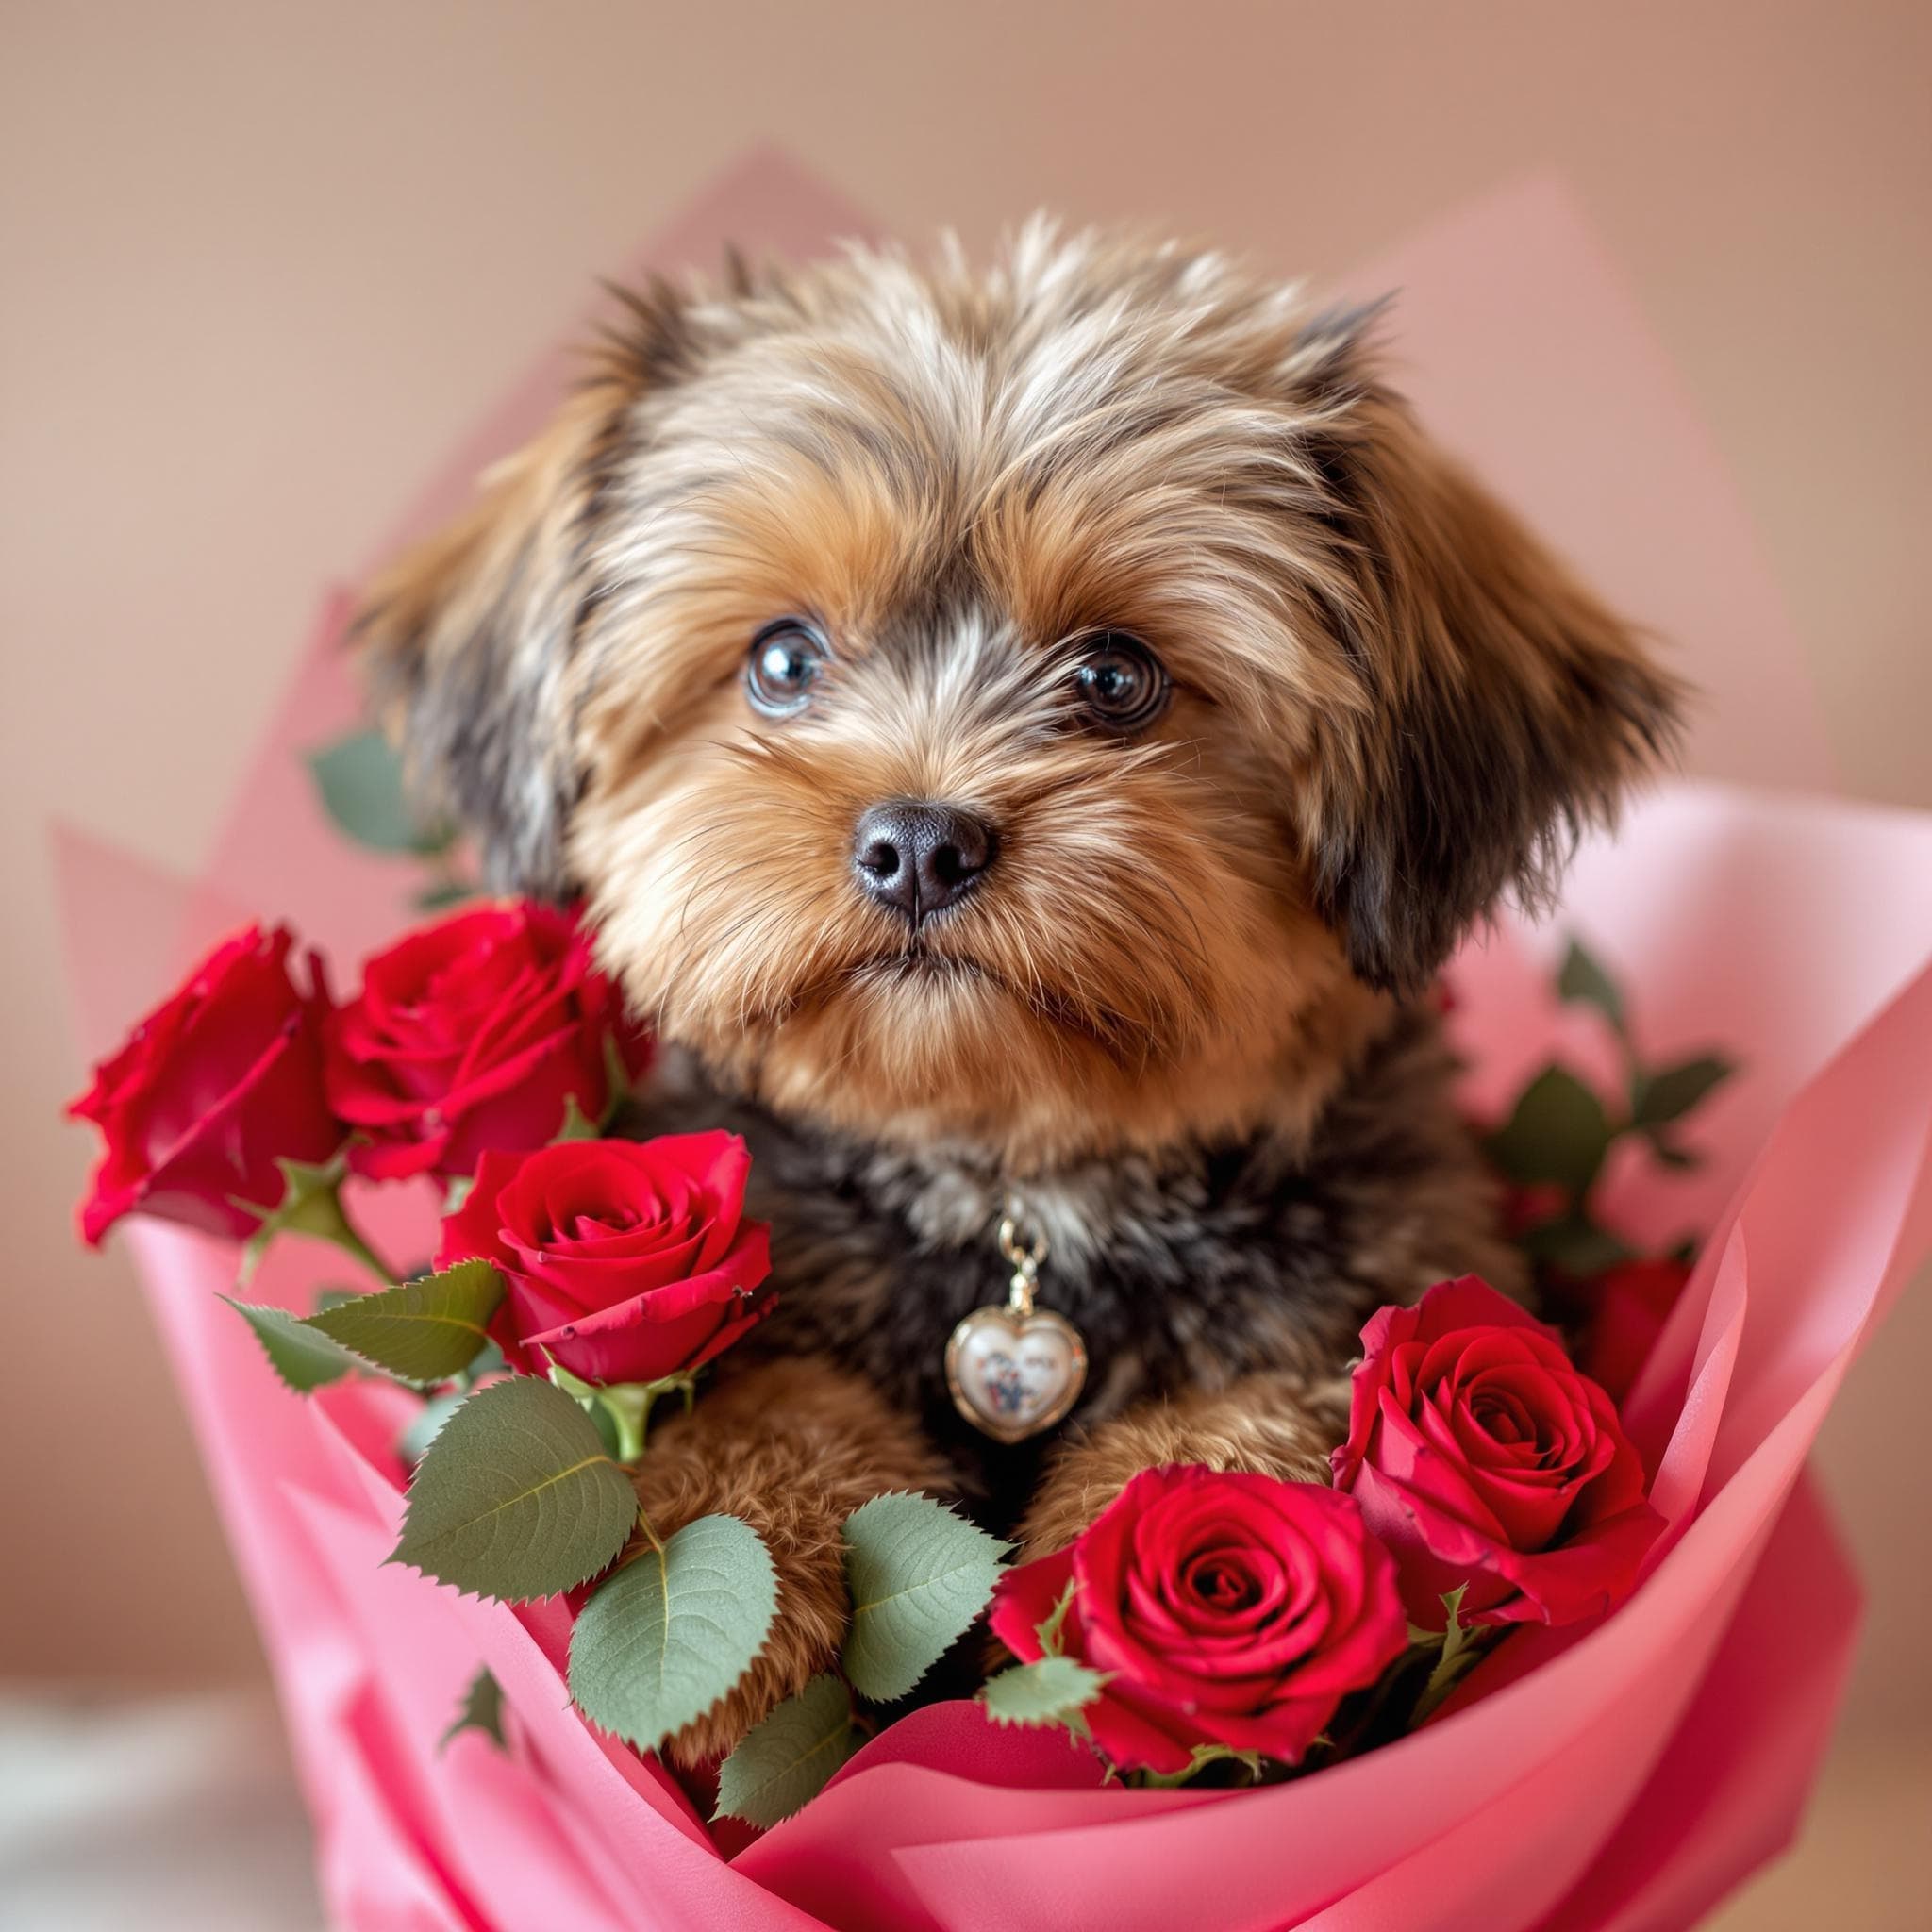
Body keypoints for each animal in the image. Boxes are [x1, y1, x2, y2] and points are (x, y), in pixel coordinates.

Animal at [355, 225, 1684, 1769]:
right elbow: (765, 1398)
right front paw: (732, 1551)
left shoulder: (1381, 1284)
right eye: (782, 660)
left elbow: (1242, 1426)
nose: (918, 842)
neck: (1013, 1186)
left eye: (1114, 676)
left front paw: (1102, 1596)